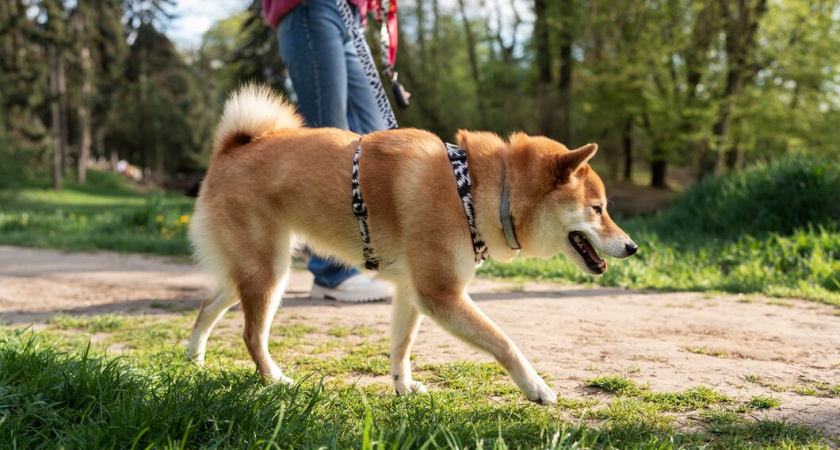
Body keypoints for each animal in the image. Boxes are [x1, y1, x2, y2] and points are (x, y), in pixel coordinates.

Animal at [189, 85, 636, 404]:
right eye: (598, 209)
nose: (632, 247)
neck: (474, 191)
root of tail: (231, 149)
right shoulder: (440, 294)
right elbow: (503, 341)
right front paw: (536, 386)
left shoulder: (411, 291)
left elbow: (401, 346)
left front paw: (403, 387)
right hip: (270, 272)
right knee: (251, 335)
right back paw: (275, 380)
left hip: (256, 270)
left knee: (206, 307)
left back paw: (193, 361)